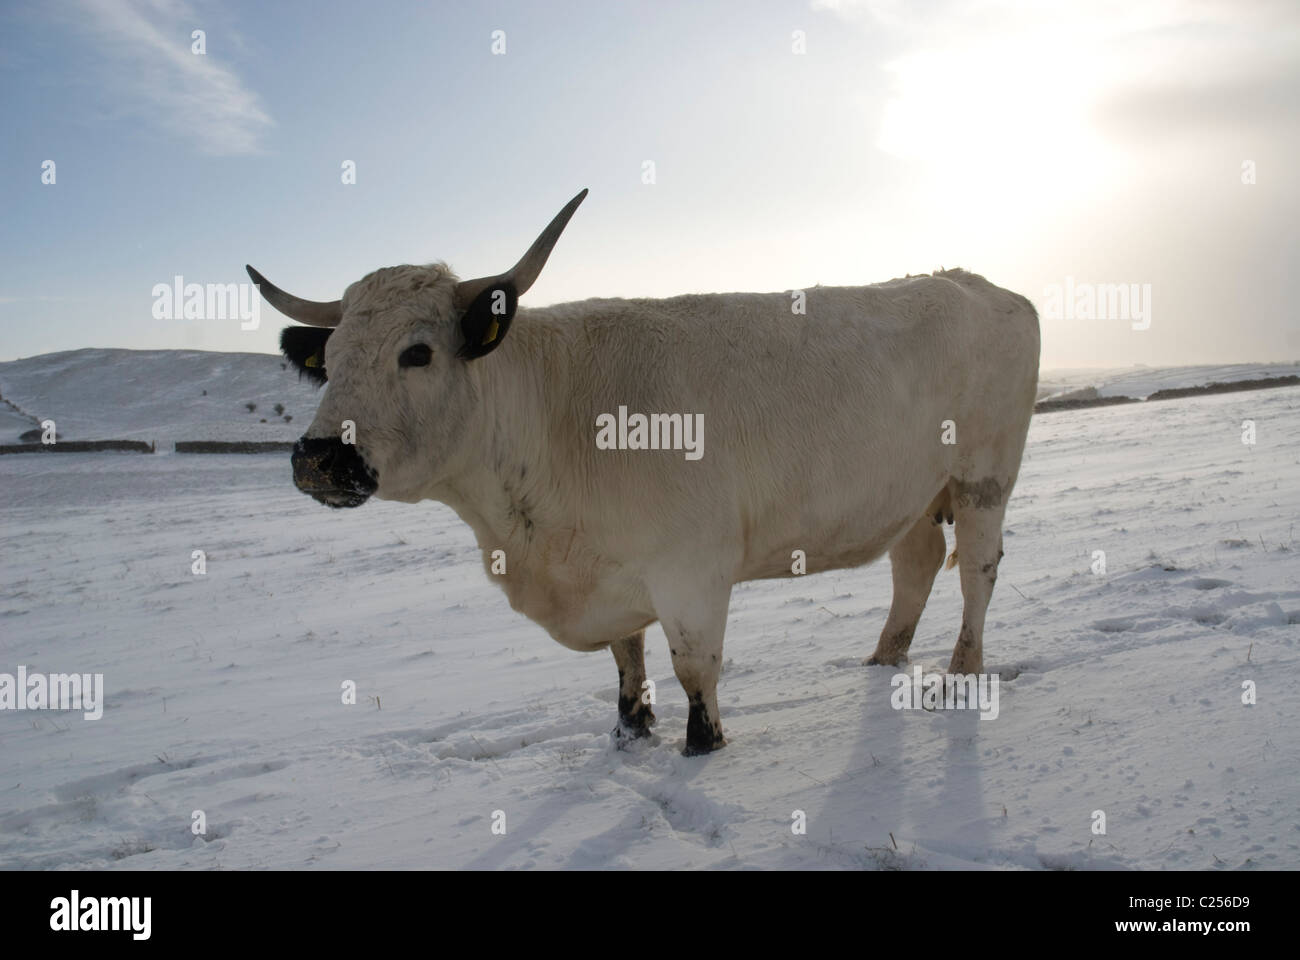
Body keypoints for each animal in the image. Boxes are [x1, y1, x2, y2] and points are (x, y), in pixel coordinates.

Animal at [248, 188, 1040, 754]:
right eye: (331, 357)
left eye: (417, 352)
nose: (318, 457)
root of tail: (980, 283)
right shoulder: (606, 571)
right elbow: (626, 657)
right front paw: (629, 728)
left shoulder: (692, 568)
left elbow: (694, 665)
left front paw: (702, 743)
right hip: (912, 488)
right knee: (917, 561)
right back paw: (883, 659)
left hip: (984, 474)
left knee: (976, 570)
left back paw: (960, 674)